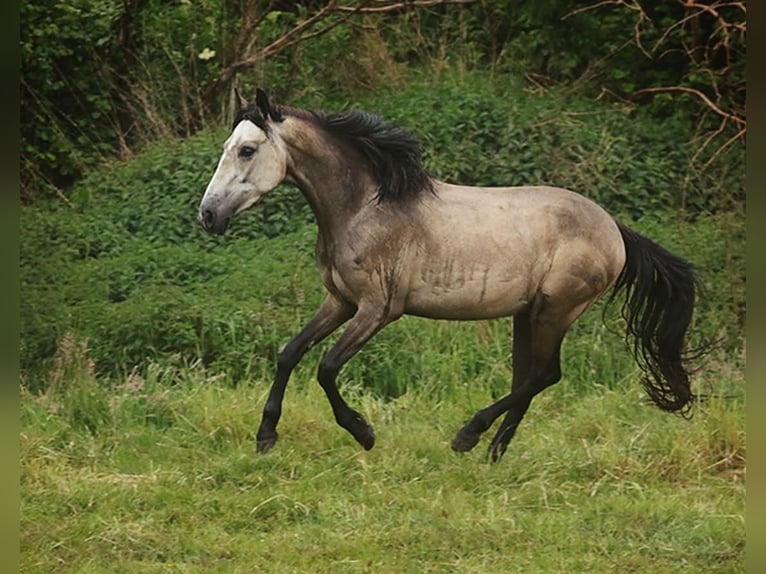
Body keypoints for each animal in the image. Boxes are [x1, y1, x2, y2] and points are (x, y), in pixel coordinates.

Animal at [198, 89, 701, 462]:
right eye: (226, 147)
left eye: (247, 149)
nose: (207, 215)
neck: (365, 207)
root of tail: (614, 229)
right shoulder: (340, 301)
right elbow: (289, 353)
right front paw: (266, 436)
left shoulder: (378, 310)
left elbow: (326, 368)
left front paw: (363, 432)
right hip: (527, 314)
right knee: (528, 377)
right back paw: (493, 452)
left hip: (556, 310)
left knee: (544, 375)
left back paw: (468, 436)